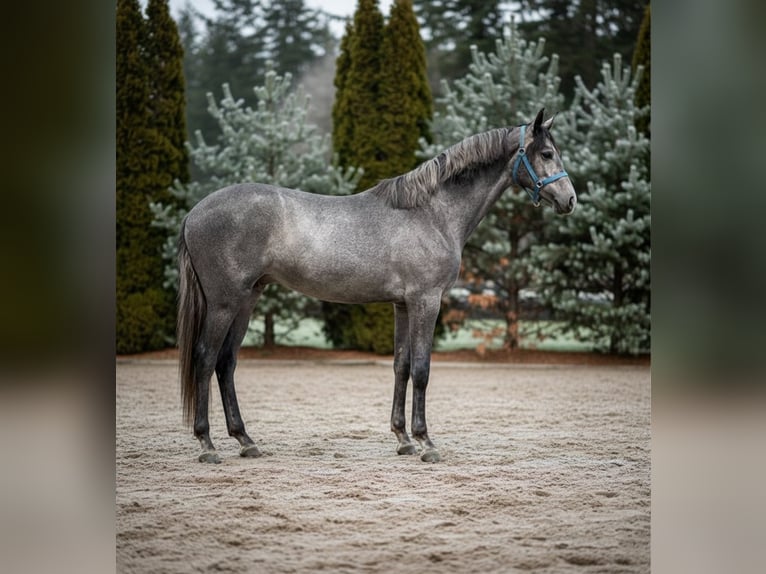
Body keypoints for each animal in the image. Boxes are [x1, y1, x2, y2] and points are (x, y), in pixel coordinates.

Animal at [177, 108, 576, 463]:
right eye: (546, 153)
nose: (570, 200)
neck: (431, 213)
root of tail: (194, 212)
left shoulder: (403, 304)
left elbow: (401, 365)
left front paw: (403, 439)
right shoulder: (426, 301)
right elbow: (421, 369)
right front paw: (426, 442)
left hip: (248, 299)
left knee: (226, 362)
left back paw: (245, 441)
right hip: (225, 303)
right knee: (206, 357)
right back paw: (207, 445)